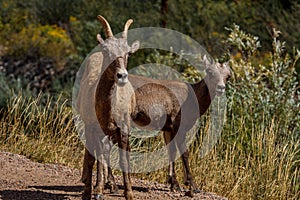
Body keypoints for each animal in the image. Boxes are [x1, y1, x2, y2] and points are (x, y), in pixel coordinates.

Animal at [76, 16, 139, 200]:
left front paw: (128, 193)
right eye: (106, 50)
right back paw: (93, 184)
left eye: (128, 53)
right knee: (97, 153)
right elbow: (93, 158)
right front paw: (89, 193)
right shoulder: (92, 128)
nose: (122, 76)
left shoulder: (122, 129)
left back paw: (109, 185)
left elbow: (123, 158)